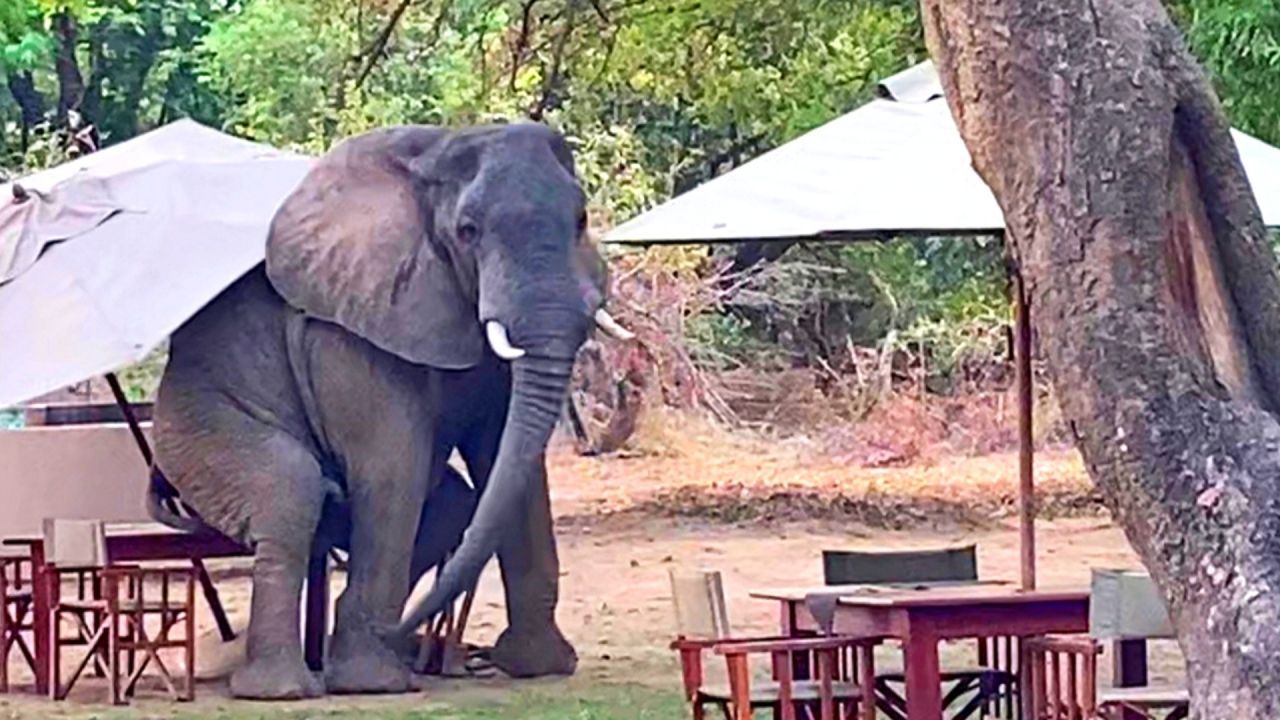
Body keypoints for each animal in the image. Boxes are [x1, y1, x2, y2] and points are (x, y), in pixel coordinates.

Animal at [149, 123, 631, 699]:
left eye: (581, 220)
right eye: (467, 231)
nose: (415, 642)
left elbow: (507, 461)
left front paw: (540, 665)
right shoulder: (352, 330)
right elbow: (393, 467)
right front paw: (370, 683)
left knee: (450, 508)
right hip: (191, 429)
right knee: (292, 489)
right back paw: (286, 687)